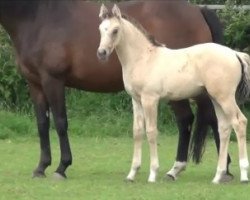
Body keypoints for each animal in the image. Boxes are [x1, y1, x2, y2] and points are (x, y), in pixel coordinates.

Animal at [97, 3, 250, 184]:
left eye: (115, 30)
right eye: (101, 29)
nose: (101, 53)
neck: (144, 58)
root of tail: (235, 54)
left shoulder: (150, 99)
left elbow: (151, 132)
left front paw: (153, 174)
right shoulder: (136, 100)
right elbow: (137, 132)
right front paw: (132, 174)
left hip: (225, 98)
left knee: (240, 122)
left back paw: (243, 175)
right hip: (216, 98)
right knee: (224, 127)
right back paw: (218, 176)